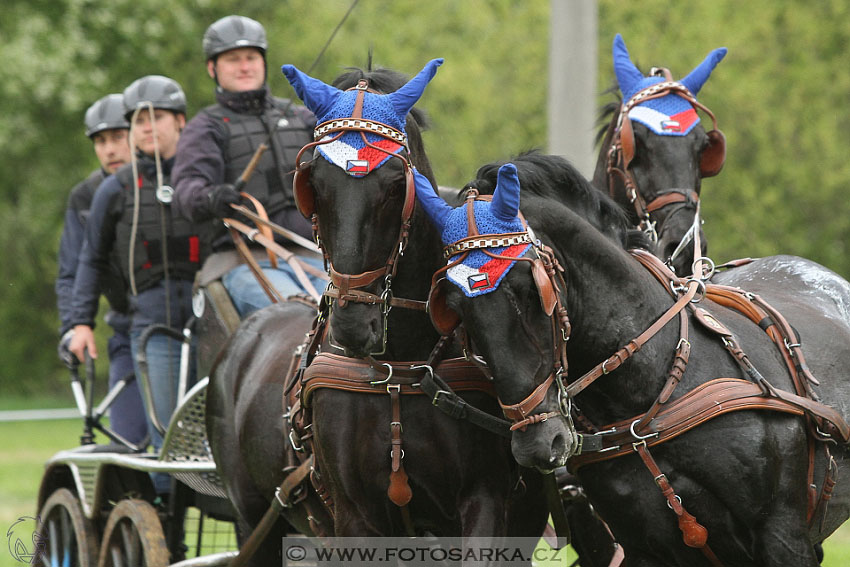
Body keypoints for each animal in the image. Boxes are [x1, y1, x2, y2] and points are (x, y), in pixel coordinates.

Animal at [418, 153, 848, 564]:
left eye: (528, 290)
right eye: (454, 308)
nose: (538, 443)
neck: (650, 395)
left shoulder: (781, 534)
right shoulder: (644, 547)